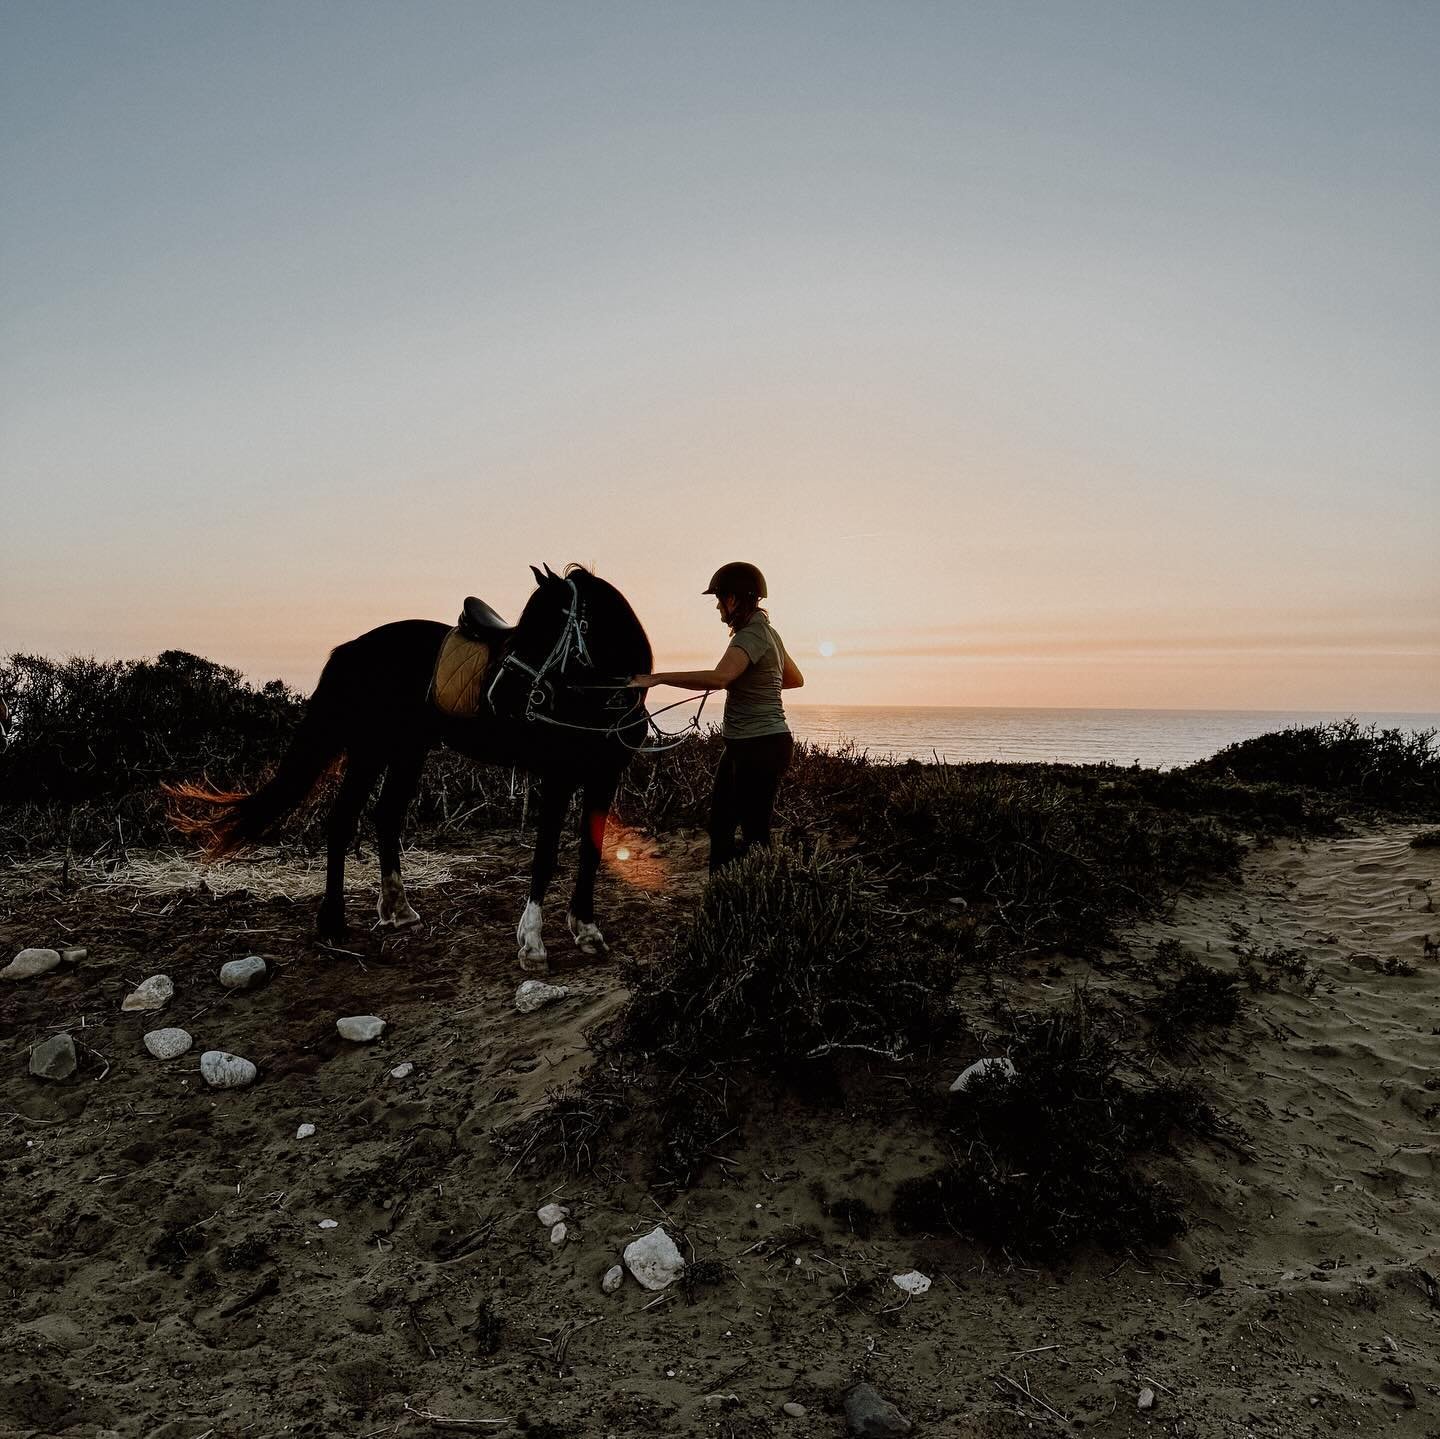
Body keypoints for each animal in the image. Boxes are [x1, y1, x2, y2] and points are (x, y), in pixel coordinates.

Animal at [169, 561, 659, 967]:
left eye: (546, 628)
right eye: (525, 628)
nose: (499, 696)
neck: (597, 696)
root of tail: (355, 648)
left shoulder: (603, 778)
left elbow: (590, 851)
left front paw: (586, 930)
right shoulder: (558, 778)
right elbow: (545, 856)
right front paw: (533, 943)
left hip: (407, 750)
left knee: (385, 815)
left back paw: (398, 910)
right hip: (371, 750)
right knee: (343, 819)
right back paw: (333, 922)